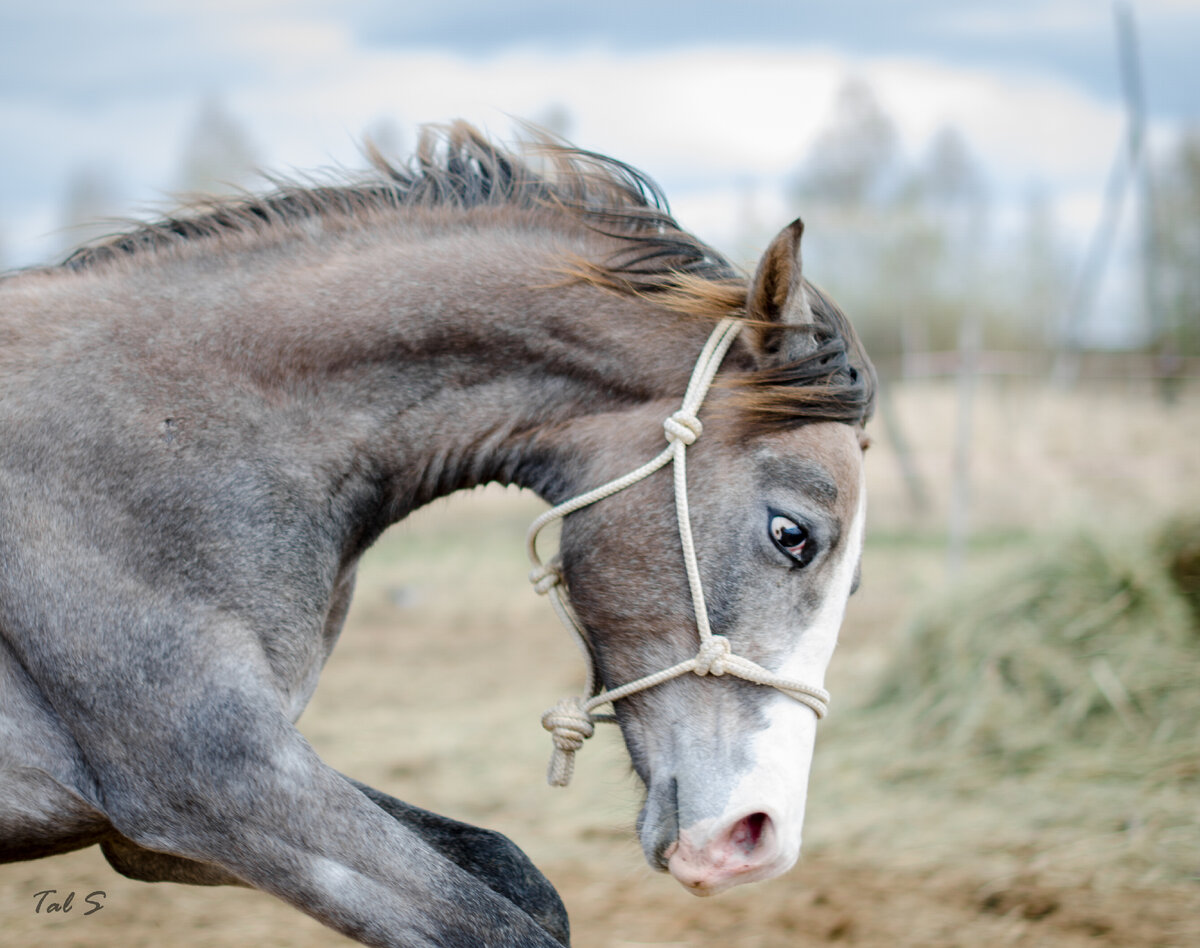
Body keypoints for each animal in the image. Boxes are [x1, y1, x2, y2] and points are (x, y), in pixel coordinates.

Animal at [0, 126, 873, 948]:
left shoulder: (153, 837)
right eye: (792, 534)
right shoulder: (216, 789)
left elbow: (519, 878)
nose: (758, 839)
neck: (176, 430)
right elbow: (493, 923)